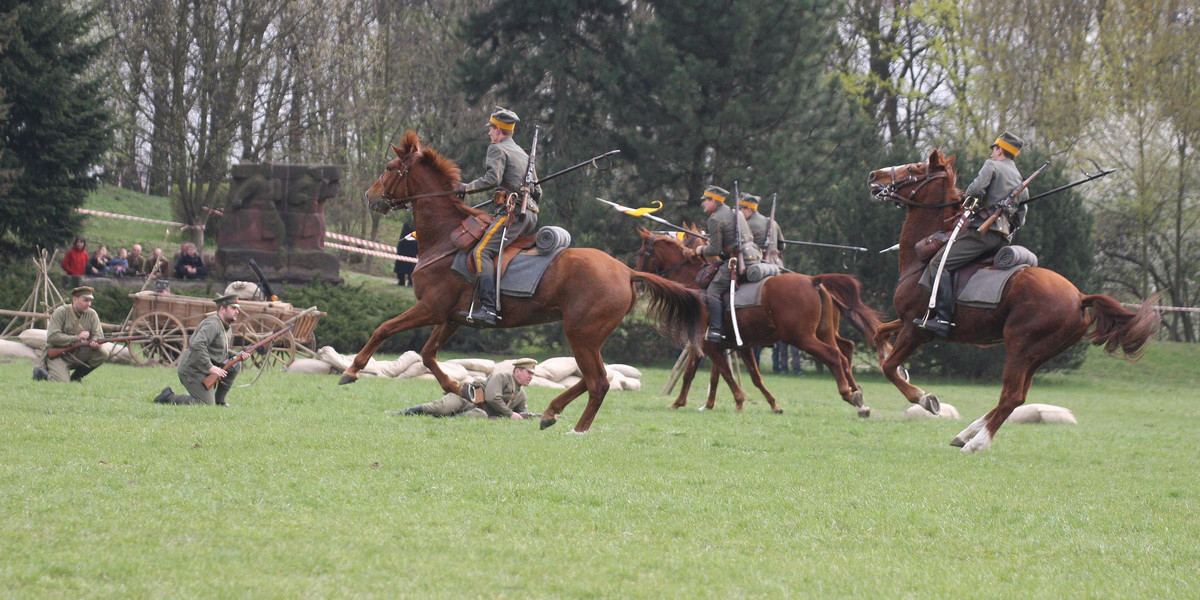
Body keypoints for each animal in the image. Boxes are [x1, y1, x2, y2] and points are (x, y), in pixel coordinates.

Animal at [338, 130, 705, 432]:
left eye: (389, 166)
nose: (369, 196)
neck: (447, 236)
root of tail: (627, 271)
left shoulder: (430, 308)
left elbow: (384, 329)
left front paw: (351, 370)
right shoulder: (452, 317)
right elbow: (428, 354)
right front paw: (460, 388)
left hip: (581, 335)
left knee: (598, 381)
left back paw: (576, 429)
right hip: (590, 337)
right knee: (590, 379)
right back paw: (552, 412)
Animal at [638, 226, 883, 415]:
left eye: (641, 253)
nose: (638, 280)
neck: (694, 282)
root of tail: (814, 280)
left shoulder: (706, 344)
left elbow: (718, 373)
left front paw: (736, 400)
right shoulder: (737, 345)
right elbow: (745, 376)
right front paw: (771, 404)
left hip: (802, 338)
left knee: (834, 356)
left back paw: (849, 395)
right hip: (823, 333)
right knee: (843, 353)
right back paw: (859, 398)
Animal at [868, 148, 1156, 451]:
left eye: (913, 168)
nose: (874, 176)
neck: (923, 256)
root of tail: (1080, 297)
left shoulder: (917, 330)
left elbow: (887, 368)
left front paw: (924, 398)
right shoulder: (909, 321)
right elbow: (879, 333)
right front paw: (900, 365)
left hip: (1020, 348)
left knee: (1012, 396)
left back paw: (977, 443)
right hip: (1037, 355)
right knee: (1017, 396)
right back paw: (968, 433)